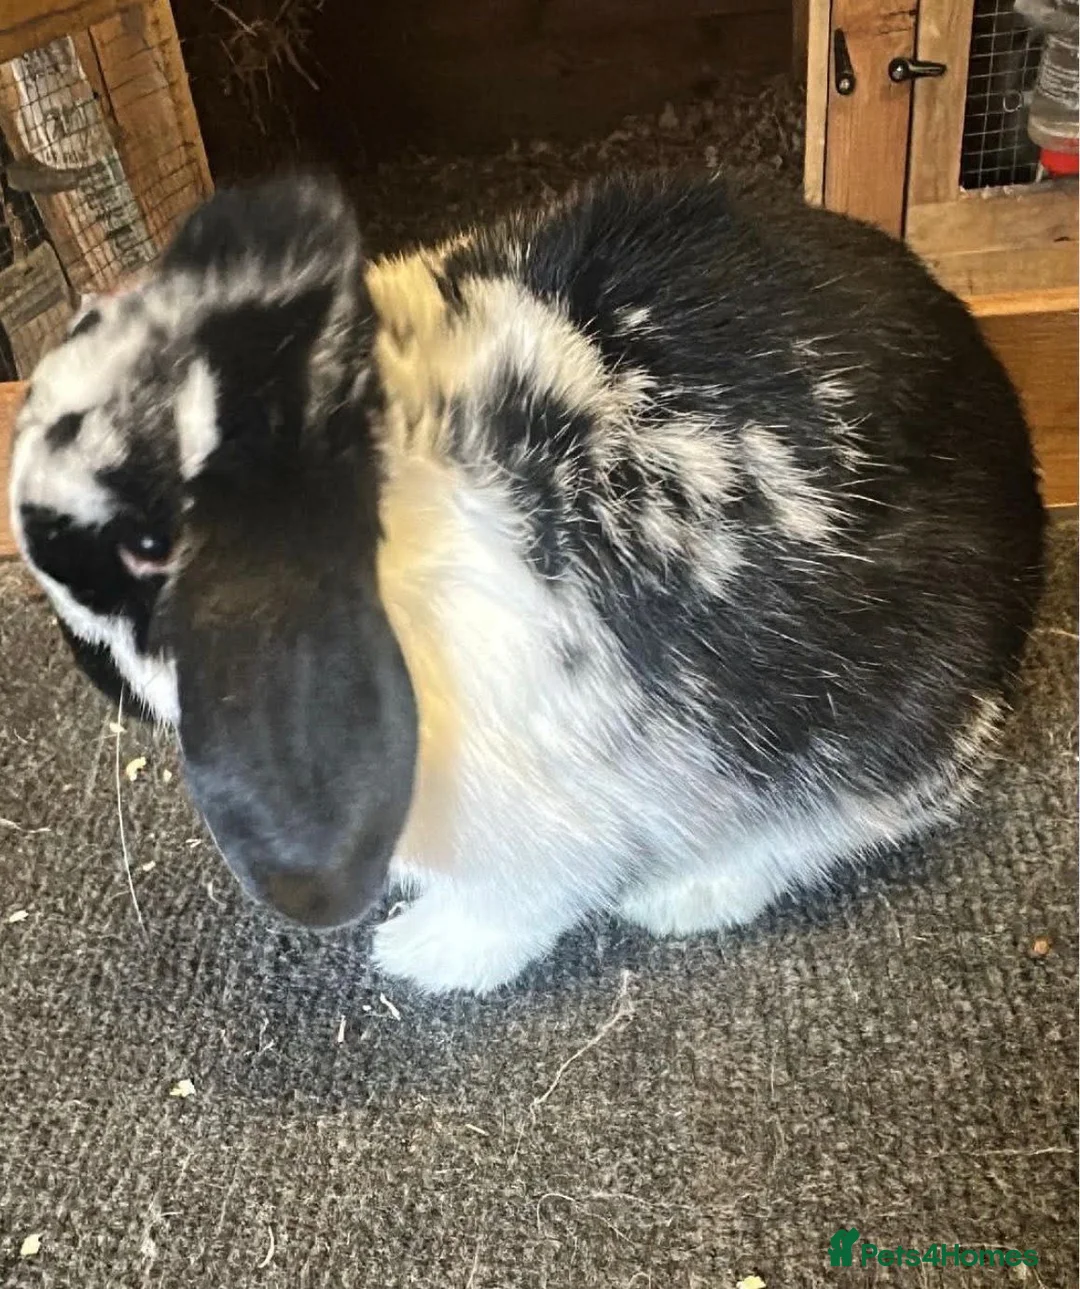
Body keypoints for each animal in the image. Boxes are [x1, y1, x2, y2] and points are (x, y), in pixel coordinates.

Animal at [8, 170, 1045, 995]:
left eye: (153, 545)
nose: (86, 669)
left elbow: (518, 903)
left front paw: (420, 956)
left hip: (873, 723)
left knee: (845, 818)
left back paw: (685, 895)